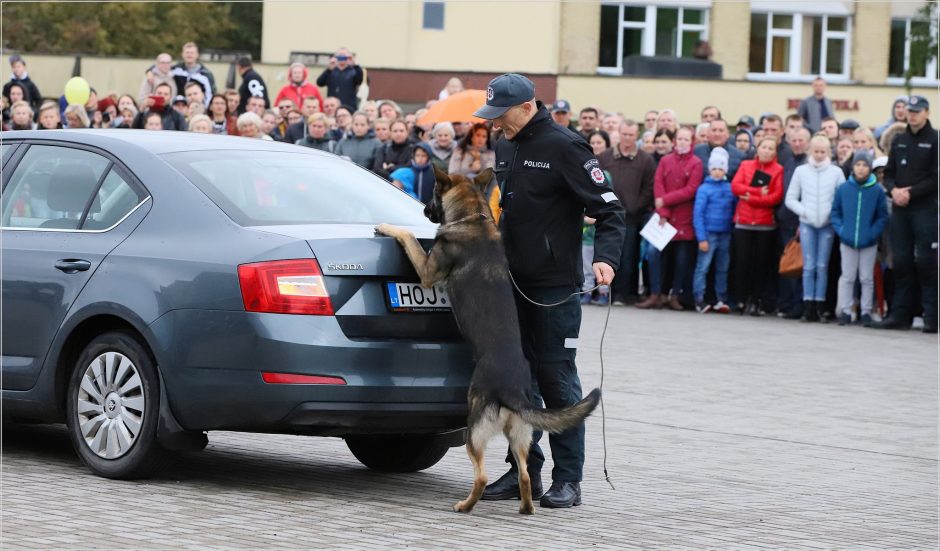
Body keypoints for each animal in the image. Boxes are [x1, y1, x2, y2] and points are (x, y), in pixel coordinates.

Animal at [376, 169, 604, 516]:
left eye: (432, 196)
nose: (425, 211)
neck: (474, 217)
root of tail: (513, 393)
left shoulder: (427, 270)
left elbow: (408, 236)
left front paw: (388, 226)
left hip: (474, 430)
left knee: (481, 475)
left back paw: (465, 505)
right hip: (519, 436)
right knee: (524, 474)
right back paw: (525, 508)